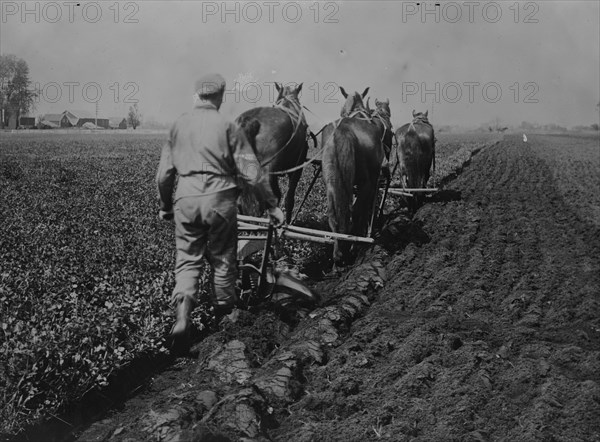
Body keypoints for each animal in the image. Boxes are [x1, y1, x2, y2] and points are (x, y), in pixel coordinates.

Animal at [322, 86, 386, 266]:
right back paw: (353, 247)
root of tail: (342, 132)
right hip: (366, 182)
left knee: (334, 215)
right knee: (357, 211)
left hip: (331, 183)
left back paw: (338, 254)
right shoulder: (371, 182)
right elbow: (365, 209)